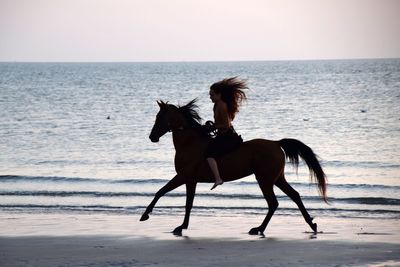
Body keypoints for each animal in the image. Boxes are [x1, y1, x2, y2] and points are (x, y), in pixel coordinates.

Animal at [141, 100, 328, 237]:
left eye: (160, 117)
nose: (152, 137)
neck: (189, 143)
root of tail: (276, 143)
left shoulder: (183, 177)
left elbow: (160, 191)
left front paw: (145, 215)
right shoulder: (190, 180)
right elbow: (188, 204)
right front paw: (181, 226)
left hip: (265, 180)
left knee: (273, 203)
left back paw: (259, 229)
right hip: (277, 178)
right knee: (294, 195)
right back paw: (311, 224)